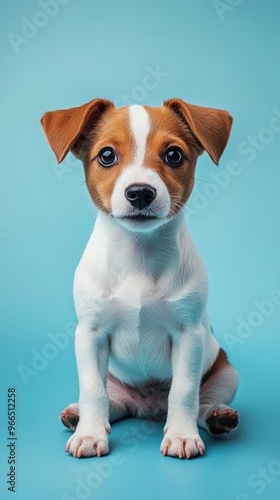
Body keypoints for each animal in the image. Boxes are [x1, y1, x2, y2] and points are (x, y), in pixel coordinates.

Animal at [41, 95, 238, 458]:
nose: (141, 192)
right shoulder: (89, 334)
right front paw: (90, 433)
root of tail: (148, 407)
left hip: (226, 372)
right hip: (115, 379)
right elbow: (93, 391)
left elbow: (184, 391)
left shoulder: (189, 336)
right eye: (107, 155)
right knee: (113, 402)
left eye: (173, 155)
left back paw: (217, 416)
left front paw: (182, 435)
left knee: (201, 402)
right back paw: (79, 415)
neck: (138, 255)